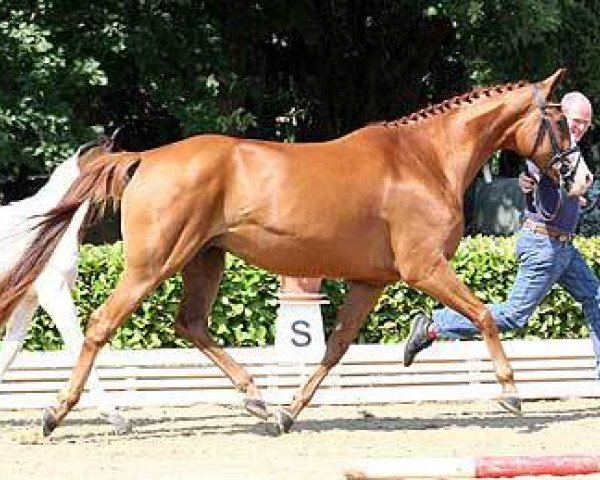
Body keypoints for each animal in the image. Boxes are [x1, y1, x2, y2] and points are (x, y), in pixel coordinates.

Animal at [0, 138, 129, 432]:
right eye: (125, 171)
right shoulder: (55, 294)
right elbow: (78, 345)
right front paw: (116, 417)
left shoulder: (28, 302)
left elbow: (9, 353)